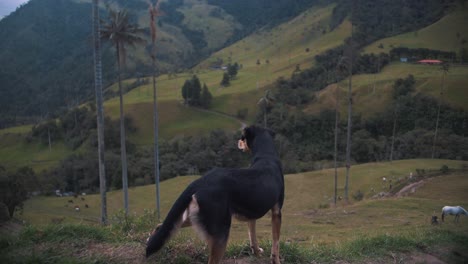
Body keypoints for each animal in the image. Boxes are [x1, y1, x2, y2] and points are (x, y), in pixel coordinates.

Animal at [147, 126, 286, 264]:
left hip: (194, 217)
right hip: (220, 232)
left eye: (242, 138)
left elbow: (253, 236)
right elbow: (276, 243)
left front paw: (256, 252)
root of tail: (202, 181)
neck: (265, 155)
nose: (237, 141)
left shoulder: (252, 214)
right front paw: (275, 259)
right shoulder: (277, 212)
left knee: (160, 227)